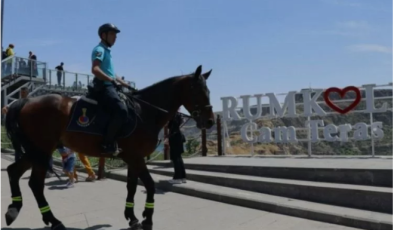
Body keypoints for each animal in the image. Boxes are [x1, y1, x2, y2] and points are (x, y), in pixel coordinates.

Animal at [3, 65, 212, 230]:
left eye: (208, 91)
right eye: (198, 91)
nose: (209, 121)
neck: (144, 111)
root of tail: (25, 101)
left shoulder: (133, 158)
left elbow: (131, 186)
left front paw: (132, 217)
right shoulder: (136, 158)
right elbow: (150, 185)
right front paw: (147, 219)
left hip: (35, 151)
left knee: (14, 171)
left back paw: (14, 211)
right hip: (42, 150)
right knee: (35, 184)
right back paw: (53, 221)